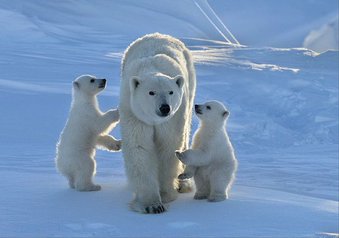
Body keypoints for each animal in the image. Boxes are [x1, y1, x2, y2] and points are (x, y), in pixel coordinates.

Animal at [121, 32, 198, 213]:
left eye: (170, 92)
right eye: (151, 92)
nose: (165, 108)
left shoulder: (173, 119)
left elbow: (168, 147)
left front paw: (165, 195)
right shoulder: (135, 113)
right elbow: (140, 148)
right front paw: (151, 204)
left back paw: (183, 185)